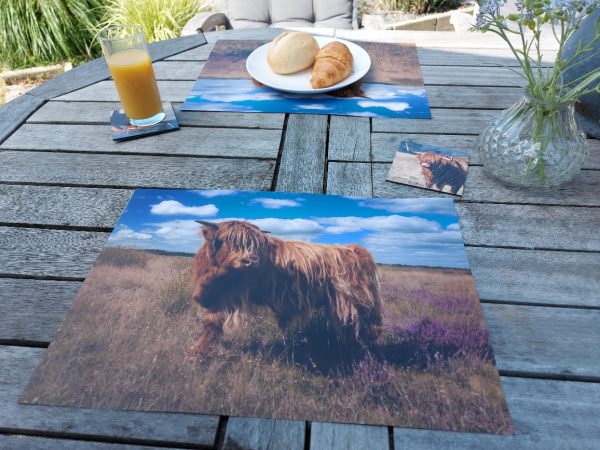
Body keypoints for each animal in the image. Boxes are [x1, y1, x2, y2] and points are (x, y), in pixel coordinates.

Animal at [190, 221, 382, 356]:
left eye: (254, 246)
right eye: (228, 241)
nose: (249, 261)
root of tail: (356, 249)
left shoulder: (229, 295)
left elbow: (212, 323)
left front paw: (197, 353)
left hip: (354, 304)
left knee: (364, 328)